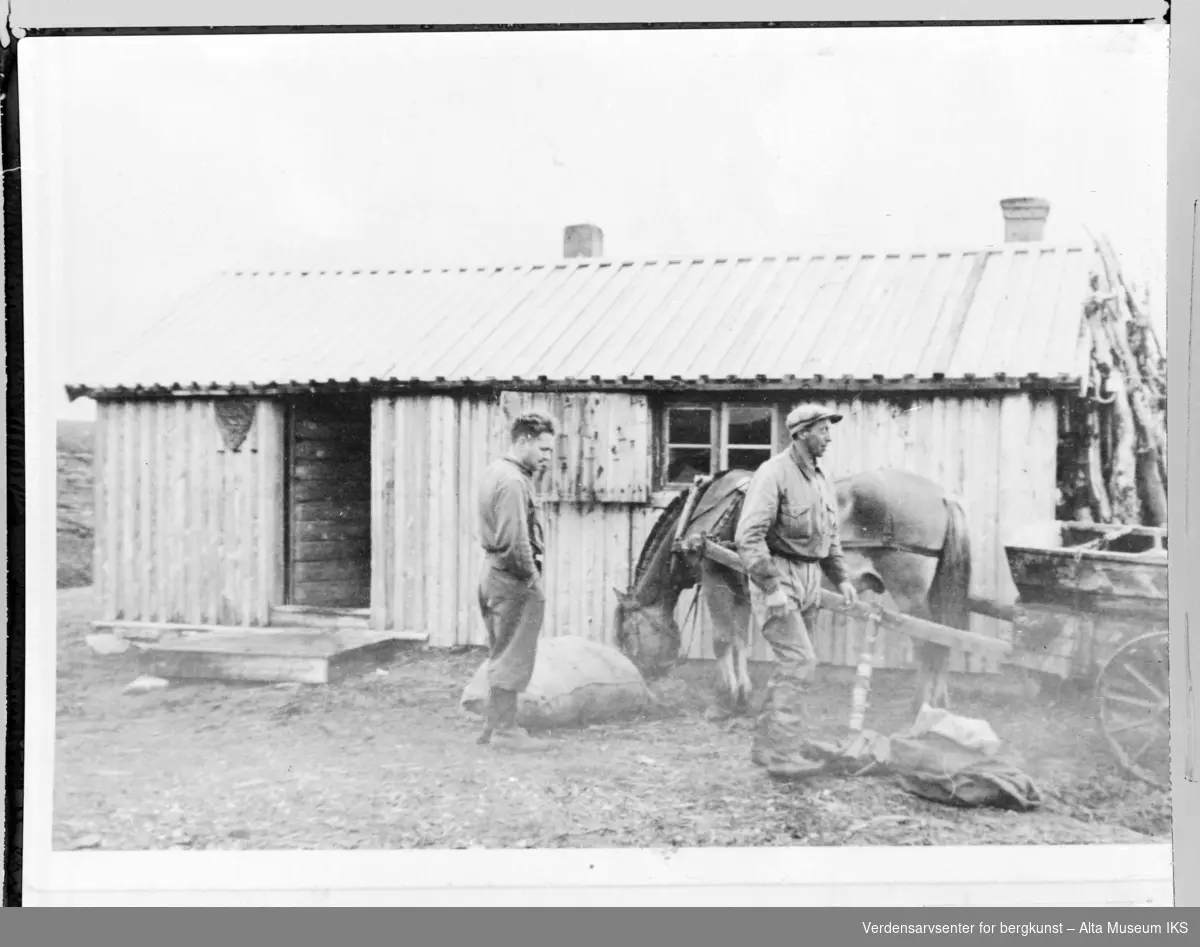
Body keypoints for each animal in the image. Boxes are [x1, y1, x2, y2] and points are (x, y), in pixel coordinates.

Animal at [614, 465, 969, 715]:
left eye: (627, 634)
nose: (642, 675)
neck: (708, 508)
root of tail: (942, 495)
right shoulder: (742, 588)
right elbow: (739, 641)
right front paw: (743, 693)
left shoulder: (716, 578)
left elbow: (722, 640)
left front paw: (725, 698)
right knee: (944, 640)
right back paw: (937, 702)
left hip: (910, 594)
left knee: (930, 643)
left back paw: (920, 705)